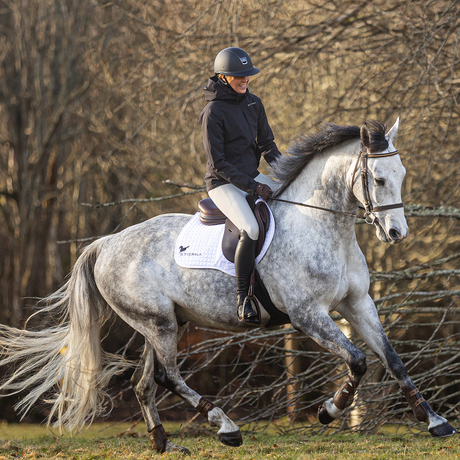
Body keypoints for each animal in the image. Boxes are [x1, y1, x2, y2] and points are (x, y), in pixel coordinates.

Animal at [0, 117, 454, 452]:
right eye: (377, 178)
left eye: (401, 173)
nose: (396, 233)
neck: (323, 225)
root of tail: (107, 242)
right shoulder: (308, 316)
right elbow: (358, 361)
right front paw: (329, 410)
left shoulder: (358, 304)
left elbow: (392, 359)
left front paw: (435, 421)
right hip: (160, 323)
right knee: (168, 377)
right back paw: (225, 427)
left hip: (161, 323)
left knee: (145, 383)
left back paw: (164, 443)